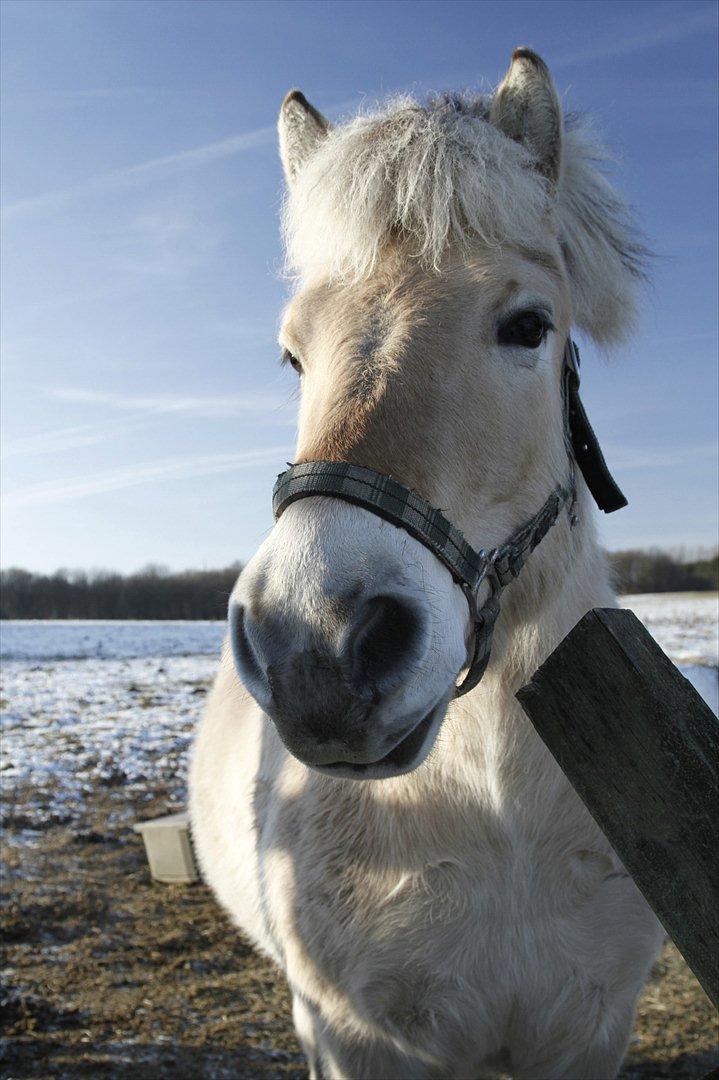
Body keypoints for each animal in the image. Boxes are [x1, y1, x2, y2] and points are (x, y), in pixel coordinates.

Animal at [188, 50, 660, 1080]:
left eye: (527, 325)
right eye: (293, 356)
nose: (315, 646)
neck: (494, 806)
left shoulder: (590, 1033)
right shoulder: (350, 1036)